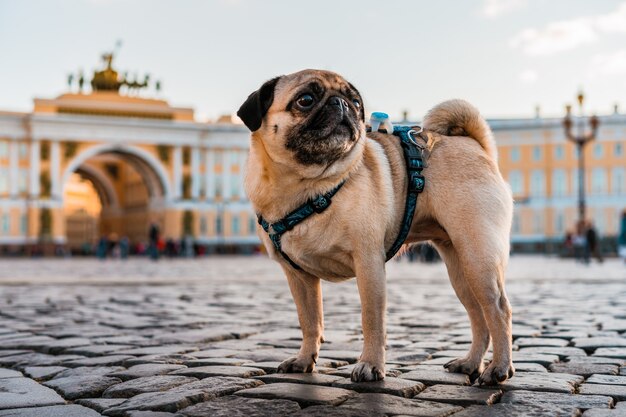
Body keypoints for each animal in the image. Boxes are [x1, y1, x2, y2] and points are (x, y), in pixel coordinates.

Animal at [234, 69, 512, 384]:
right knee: (479, 315)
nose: (342, 104)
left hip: (478, 258)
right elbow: (310, 321)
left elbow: (372, 320)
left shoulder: (369, 264)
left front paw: (370, 365)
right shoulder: (298, 277)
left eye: (356, 103)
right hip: (460, 269)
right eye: (305, 100)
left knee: (499, 310)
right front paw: (304, 359)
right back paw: (471, 363)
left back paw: (498, 369)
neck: (307, 185)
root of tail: (473, 144)